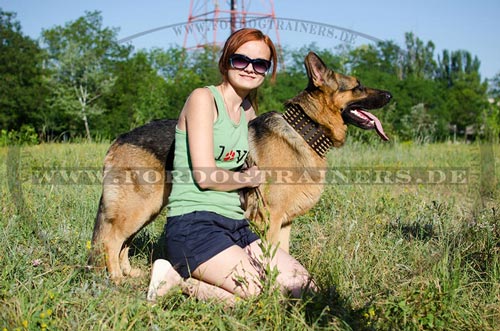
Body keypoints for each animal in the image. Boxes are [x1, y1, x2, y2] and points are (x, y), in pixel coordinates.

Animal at [92, 53, 392, 282]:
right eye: (358, 86)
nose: (390, 94)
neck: (305, 129)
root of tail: (120, 139)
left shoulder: (284, 223)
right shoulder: (270, 220)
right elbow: (271, 258)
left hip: (147, 209)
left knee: (124, 242)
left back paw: (129, 273)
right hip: (138, 208)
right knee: (110, 240)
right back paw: (116, 278)